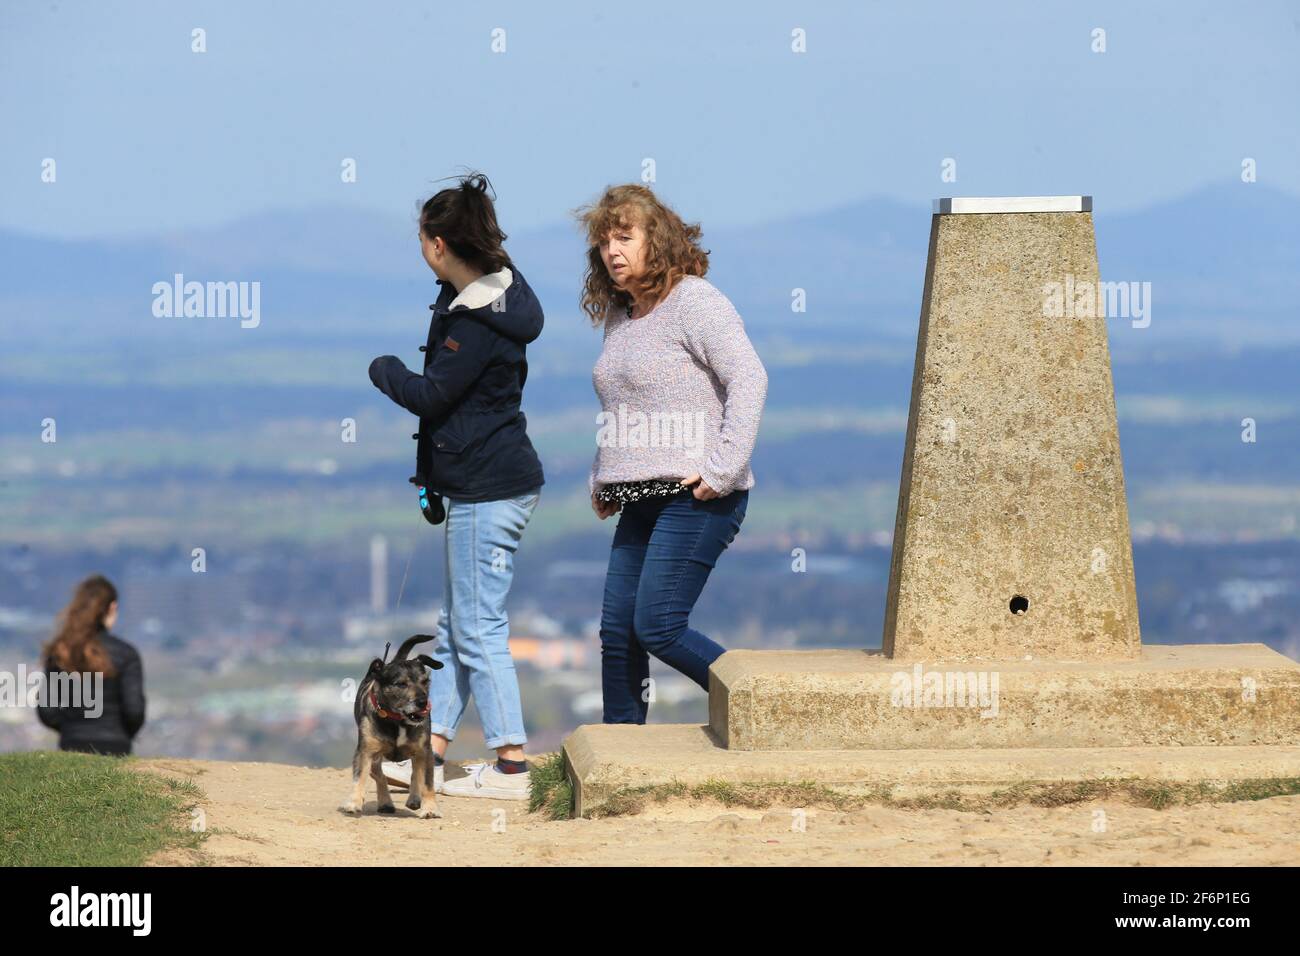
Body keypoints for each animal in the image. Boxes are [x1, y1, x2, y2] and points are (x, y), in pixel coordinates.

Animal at [340, 632, 441, 816]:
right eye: (401, 684)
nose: (423, 702)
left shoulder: (425, 751)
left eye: (425, 681)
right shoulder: (366, 752)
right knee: (380, 775)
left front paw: (430, 808)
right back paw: (386, 802)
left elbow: (426, 781)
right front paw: (354, 802)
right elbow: (361, 777)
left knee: (415, 773)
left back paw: (414, 798)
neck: (397, 720)